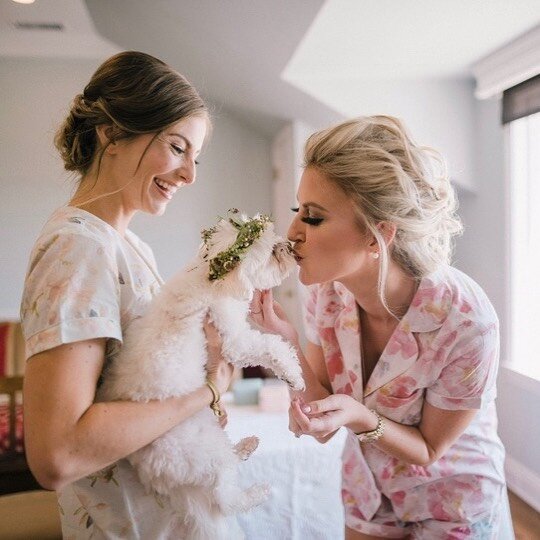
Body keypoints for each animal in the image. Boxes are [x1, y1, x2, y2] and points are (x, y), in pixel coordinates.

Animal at [97, 211, 304, 540]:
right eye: (273, 251)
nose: (290, 247)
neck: (213, 277)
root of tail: (152, 470)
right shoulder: (234, 339)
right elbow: (272, 346)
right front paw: (293, 375)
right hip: (206, 451)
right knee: (225, 500)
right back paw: (255, 493)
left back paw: (244, 448)